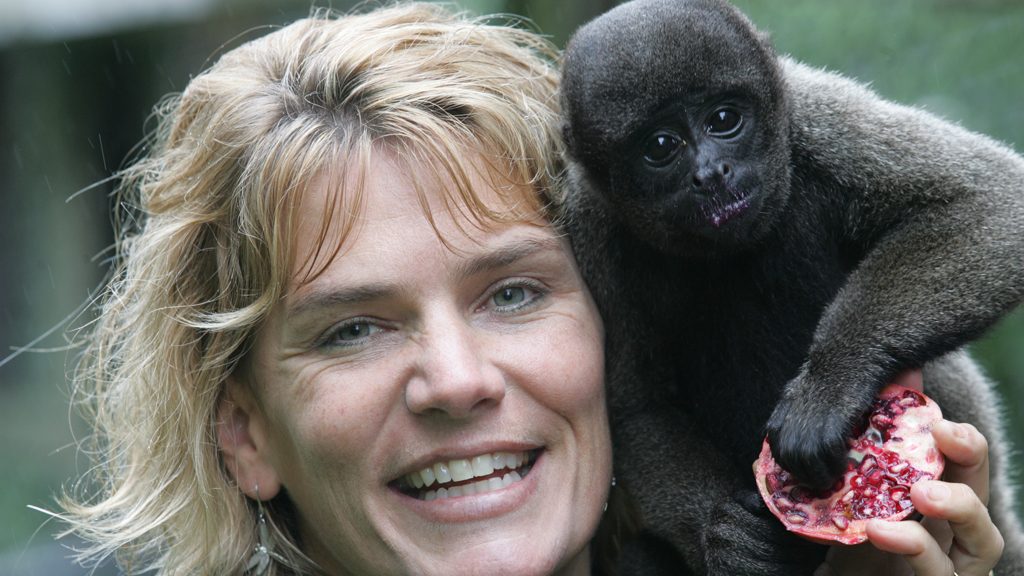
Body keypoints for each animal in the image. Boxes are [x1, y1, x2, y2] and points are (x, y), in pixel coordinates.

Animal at [557, 0, 1024, 574]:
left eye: (724, 120)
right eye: (661, 147)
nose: (712, 173)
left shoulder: (820, 120)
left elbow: (991, 199)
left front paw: (828, 387)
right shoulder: (589, 224)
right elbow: (636, 407)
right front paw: (728, 539)